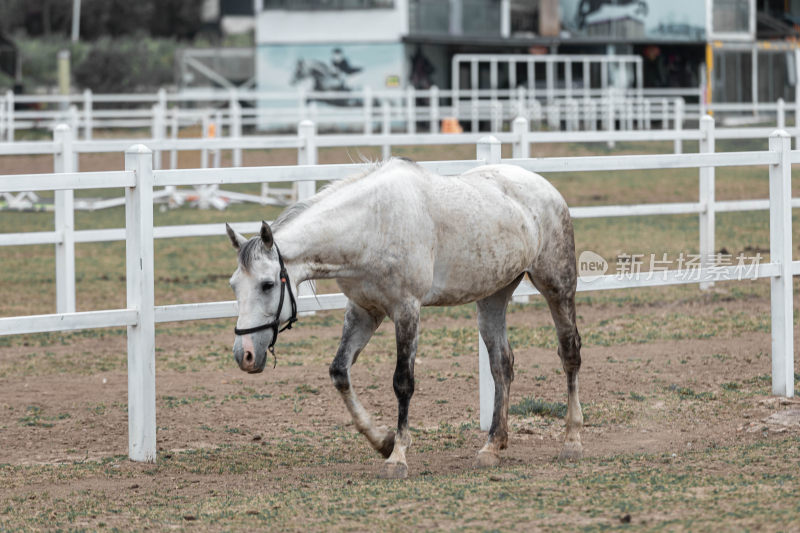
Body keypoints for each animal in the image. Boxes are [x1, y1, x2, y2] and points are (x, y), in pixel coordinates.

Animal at [225, 158, 580, 478]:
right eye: (234, 285)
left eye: (267, 284)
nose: (244, 355)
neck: (371, 225)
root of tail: (544, 187)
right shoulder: (364, 311)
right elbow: (339, 372)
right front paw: (382, 441)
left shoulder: (407, 309)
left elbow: (403, 383)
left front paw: (397, 457)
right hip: (493, 297)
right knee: (502, 365)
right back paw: (492, 446)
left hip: (557, 288)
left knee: (569, 353)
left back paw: (571, 442)